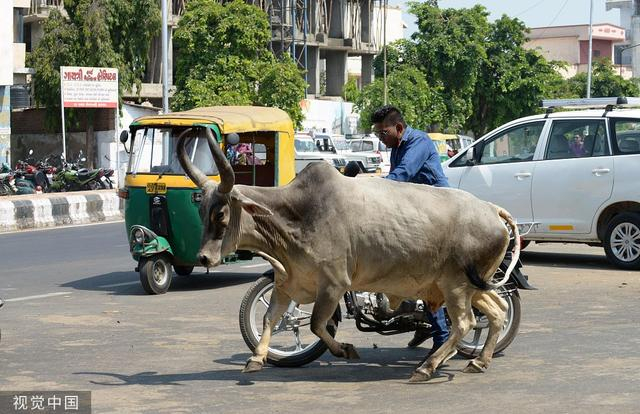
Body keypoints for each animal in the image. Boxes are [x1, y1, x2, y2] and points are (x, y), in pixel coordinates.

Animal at [177, 127, 520, 382]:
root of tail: (492, 210)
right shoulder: (286, 283)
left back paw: (427, 366)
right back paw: (478, 361)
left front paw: (345, 349)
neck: (296, 216)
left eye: (221, 214)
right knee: (498, 311)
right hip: (473, 285)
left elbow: (317, 324)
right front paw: (257, 358)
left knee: (464, 323)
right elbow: (270, 318)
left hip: (456, 286)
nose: (204, 258)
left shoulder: (333, 284)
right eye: (201, 210)